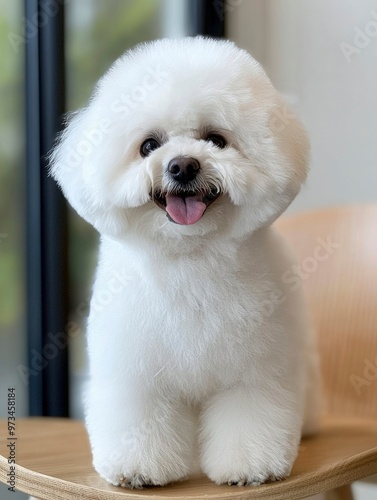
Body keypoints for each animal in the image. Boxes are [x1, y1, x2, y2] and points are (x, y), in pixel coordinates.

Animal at [50, 38, 320, 488]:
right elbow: (139, 413)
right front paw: (138, 468)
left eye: (216, 139)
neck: (190, 259)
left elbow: (250, 413)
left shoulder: (252, 373)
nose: (182, 165)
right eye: (148, 146)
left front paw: (251, 465)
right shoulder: (137, 374)